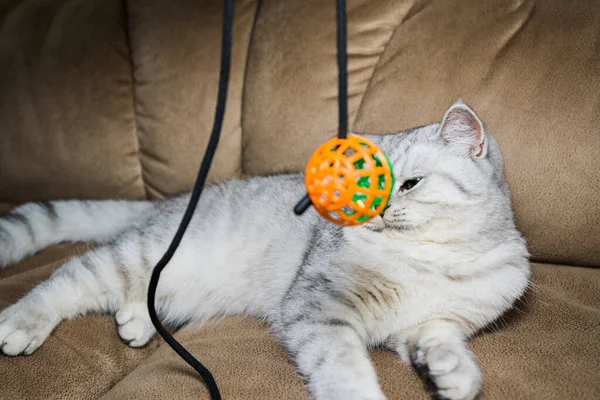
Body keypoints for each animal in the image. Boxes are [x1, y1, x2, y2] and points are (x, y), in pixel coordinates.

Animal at [0, 100, 528, 400]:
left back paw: (136, 322)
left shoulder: (431, 324)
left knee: (142, 297)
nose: (374, 212)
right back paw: (21, 323)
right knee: (68, 278)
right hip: (139, 256)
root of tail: (170, 201)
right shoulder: (318, 310)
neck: (433, 260)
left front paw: (454, 374)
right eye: (360, 189)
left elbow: (442, 340)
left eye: (411, 183)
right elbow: (343, 367)